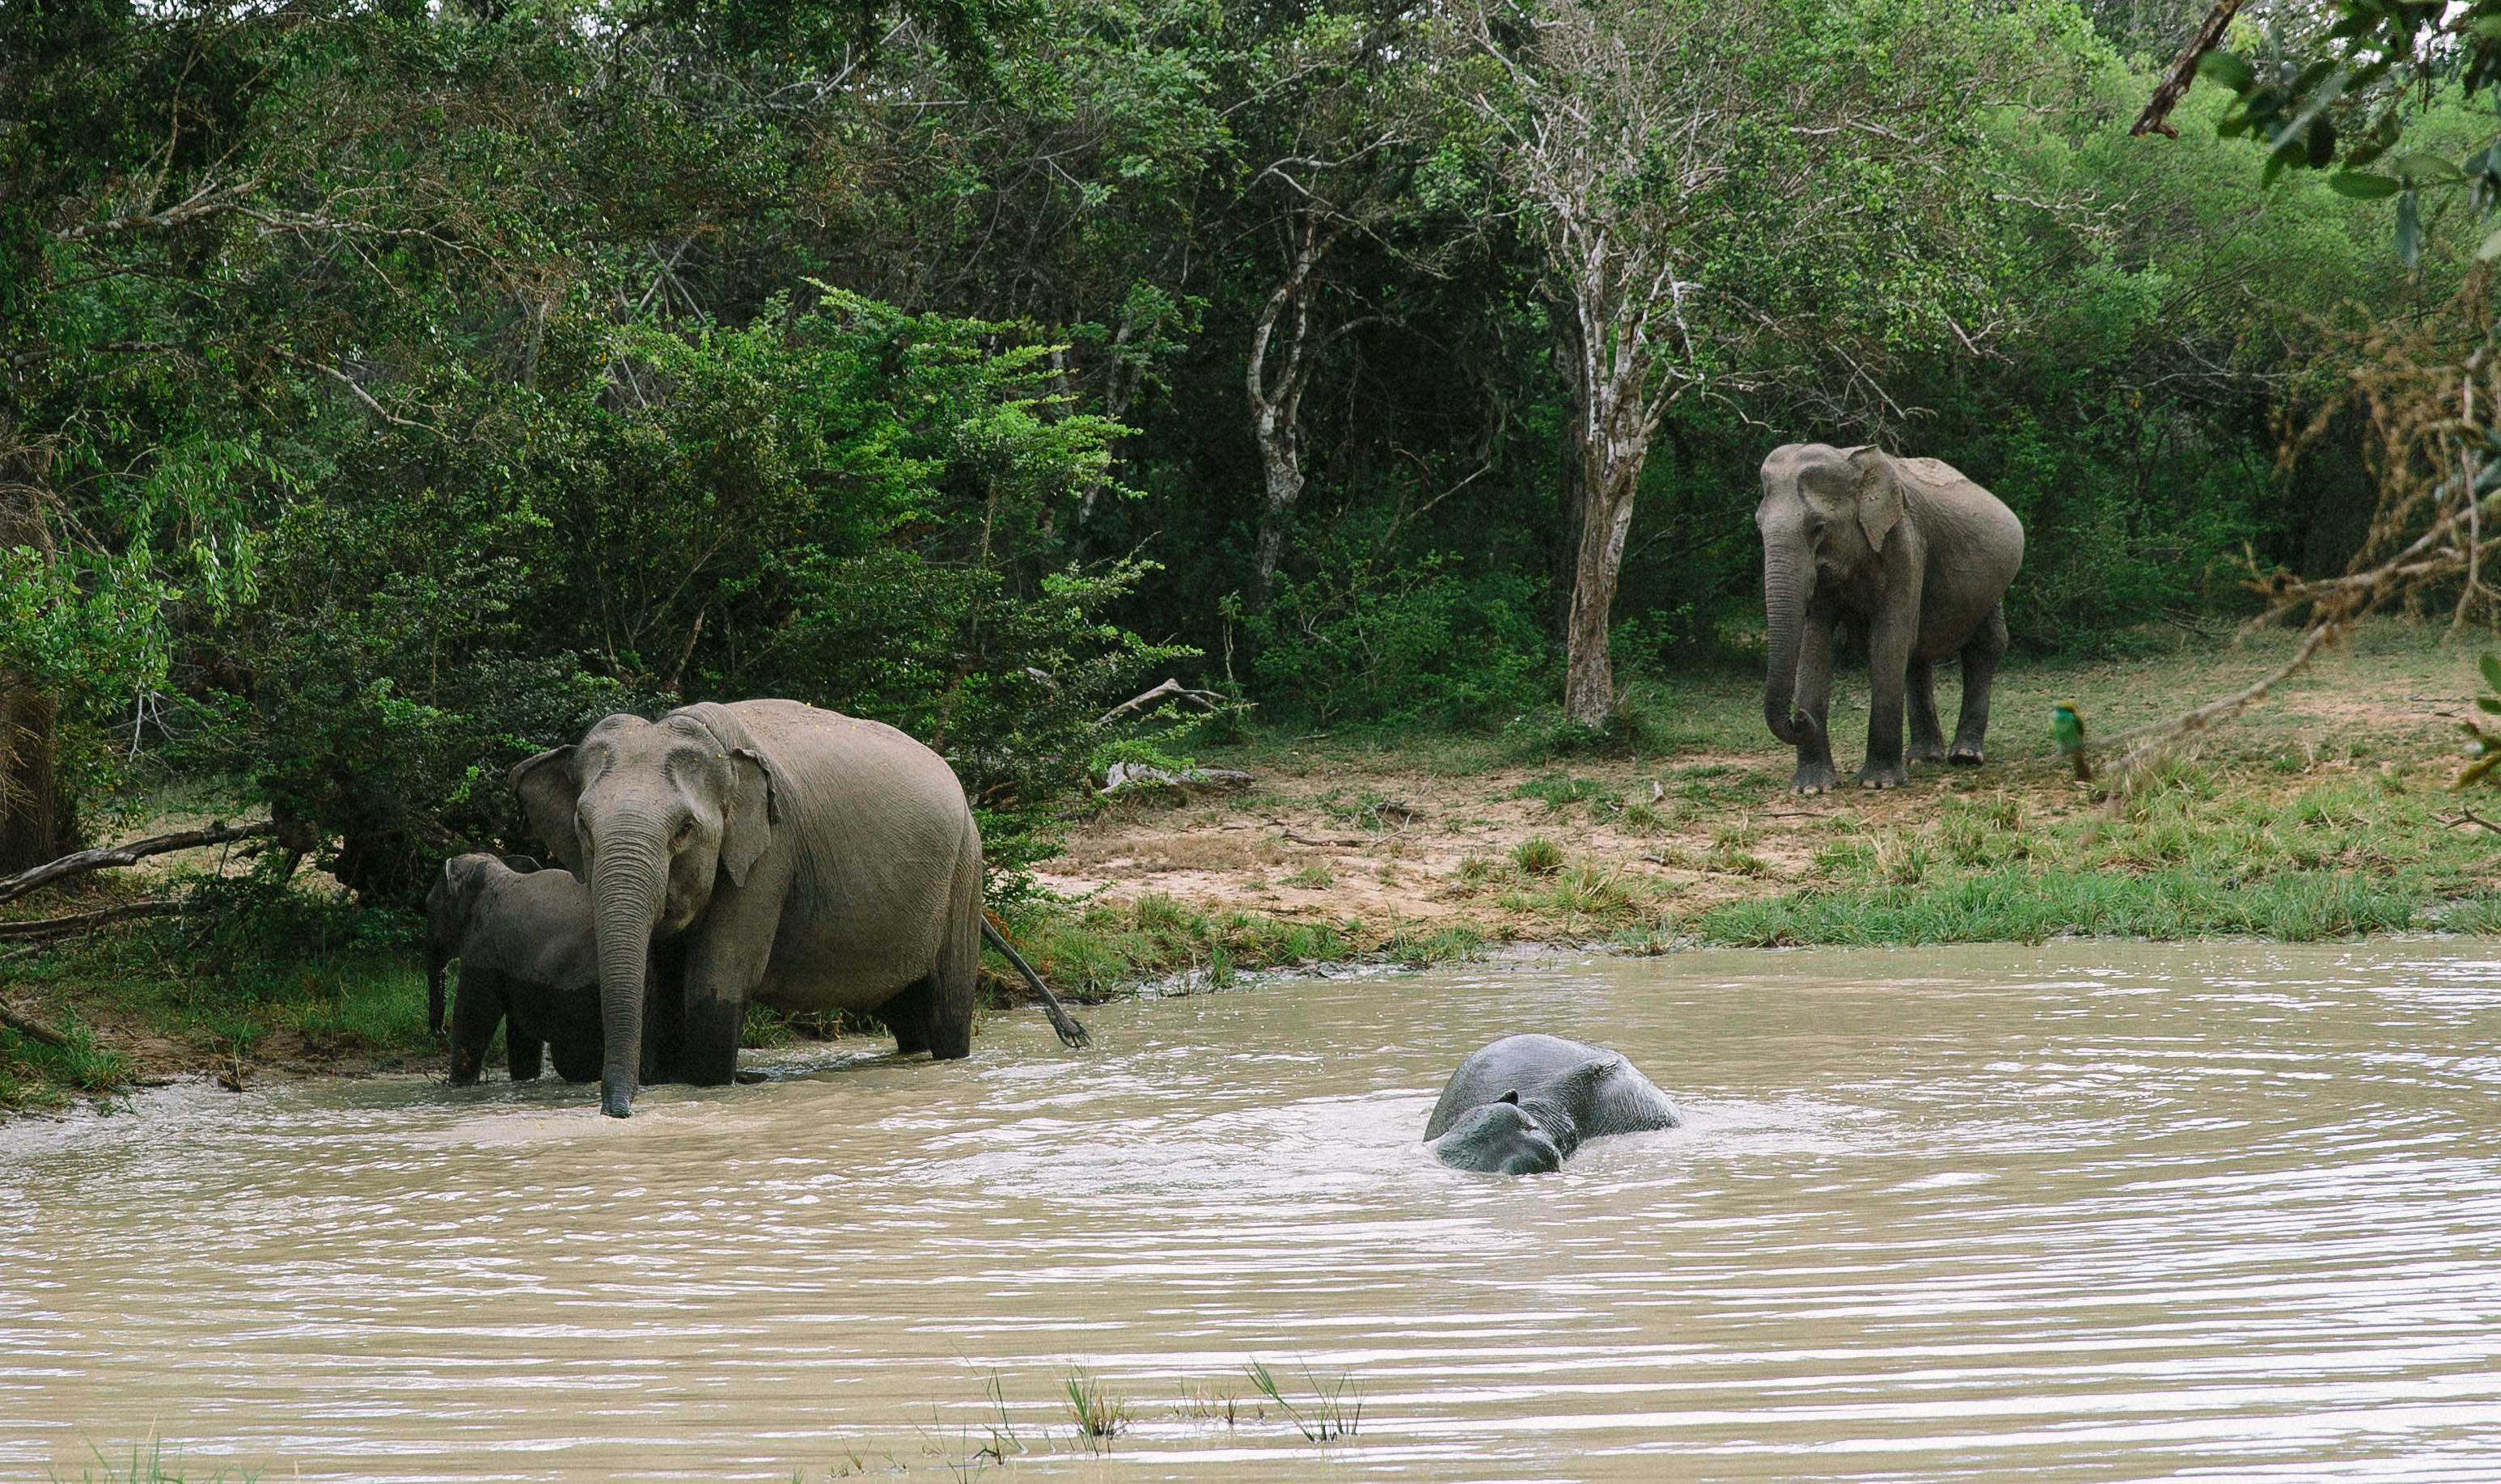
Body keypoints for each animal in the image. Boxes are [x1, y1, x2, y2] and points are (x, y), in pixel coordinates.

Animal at [425, 851, 605, 1080]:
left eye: (429, 909)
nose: (441, 1032)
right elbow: (520, 1029)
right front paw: (526, 1080)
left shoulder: (483, 947)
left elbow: (474, 1015)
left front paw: (458, 1084)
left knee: (572, 1059)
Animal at [1760, 440, 2030, 790]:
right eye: (1758, 525)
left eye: (1818, 528)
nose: (1800, 718)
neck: (1852, 464)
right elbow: (1815, 640)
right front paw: (1811, 788)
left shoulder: (1904, 542)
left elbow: (1888, 638)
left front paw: (1879, 784)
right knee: (1917, 653)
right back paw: (1924, 759)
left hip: (1996, 581)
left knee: (1985, 645)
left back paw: (1965, 757)